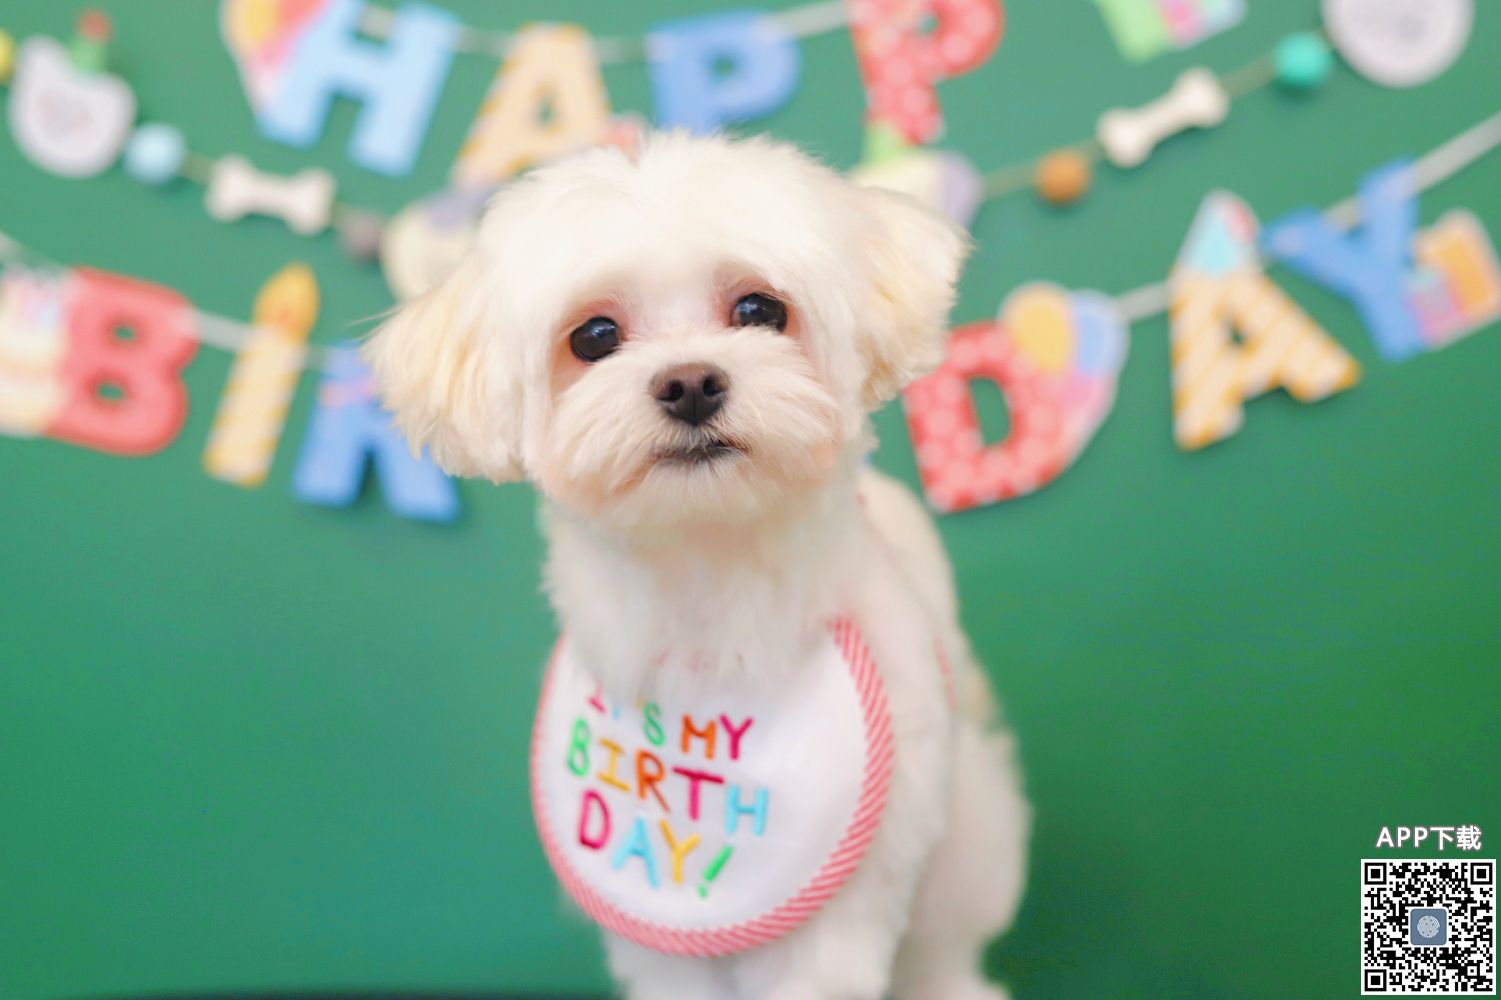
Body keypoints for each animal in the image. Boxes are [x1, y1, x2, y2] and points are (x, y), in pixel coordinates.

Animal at [364, 132, 1030, 1000]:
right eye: (593, 336)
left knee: (941, 944)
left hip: (959, 837)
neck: (708, 597)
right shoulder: (656, 925)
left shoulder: (842, 905)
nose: (688, 383)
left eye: (757, 310)